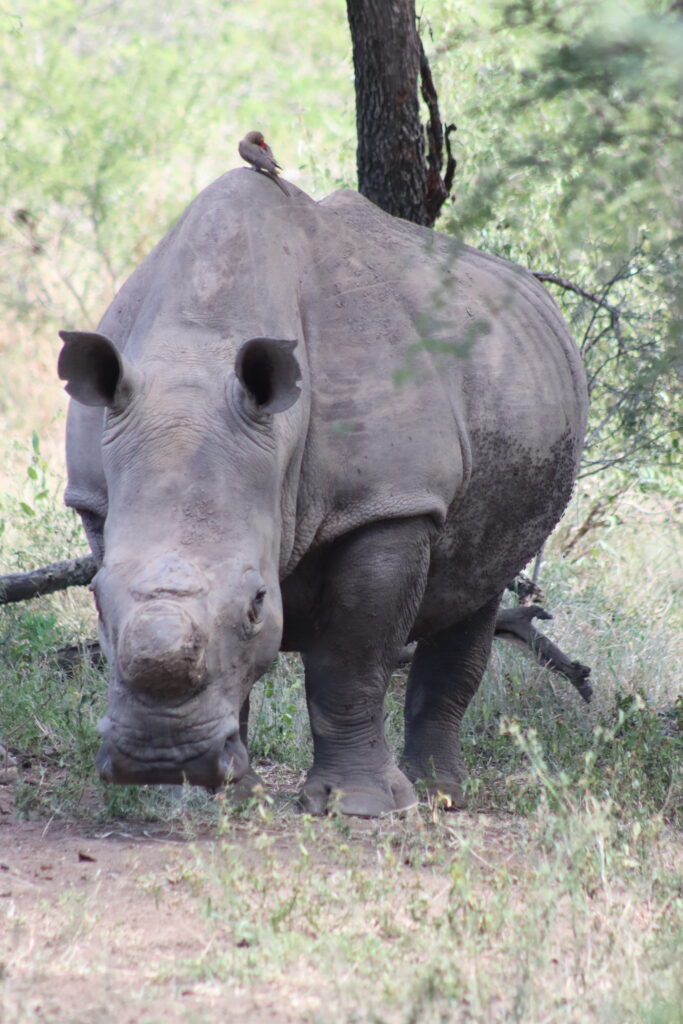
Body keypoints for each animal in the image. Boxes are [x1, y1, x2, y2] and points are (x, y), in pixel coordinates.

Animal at [58, 169, 587, 816]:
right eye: (96, 601)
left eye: (257, 602)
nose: (162, 758)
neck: (196, 351)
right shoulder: (97, 499)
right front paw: (231, 800)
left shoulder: (388, 501)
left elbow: (352, 654)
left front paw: (358, 806)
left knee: (478, 587)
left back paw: (438, 796)